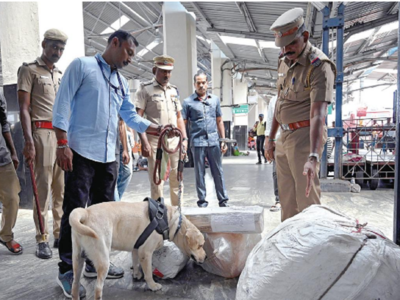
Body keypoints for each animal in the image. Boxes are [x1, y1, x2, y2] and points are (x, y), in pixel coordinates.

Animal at [69, 202, 206, 300]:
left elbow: (135, 261)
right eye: (200, 245)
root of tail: (85, 211)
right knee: (98, 288)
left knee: (74, 285)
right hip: (103, 260)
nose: (206, 257)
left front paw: (136, 274)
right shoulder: (146, 252)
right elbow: (149, 273)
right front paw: (152, 285)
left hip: (77, 259)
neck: (169, 220)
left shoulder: (136, 247)